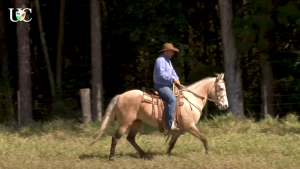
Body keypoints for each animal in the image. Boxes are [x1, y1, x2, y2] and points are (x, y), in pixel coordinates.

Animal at [88, 73, 227, 160]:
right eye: (220, 88)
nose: (225, 105)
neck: (191, 99)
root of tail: (120, 96)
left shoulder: (179, 130)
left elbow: (171, 144)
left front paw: (167, 155)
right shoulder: (190, 126)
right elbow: (204, 138)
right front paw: (208, 152)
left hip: (137, 122)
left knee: (131, 138)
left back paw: (144, 155)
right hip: (124, 123)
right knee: (115, 138)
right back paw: (111, 158)